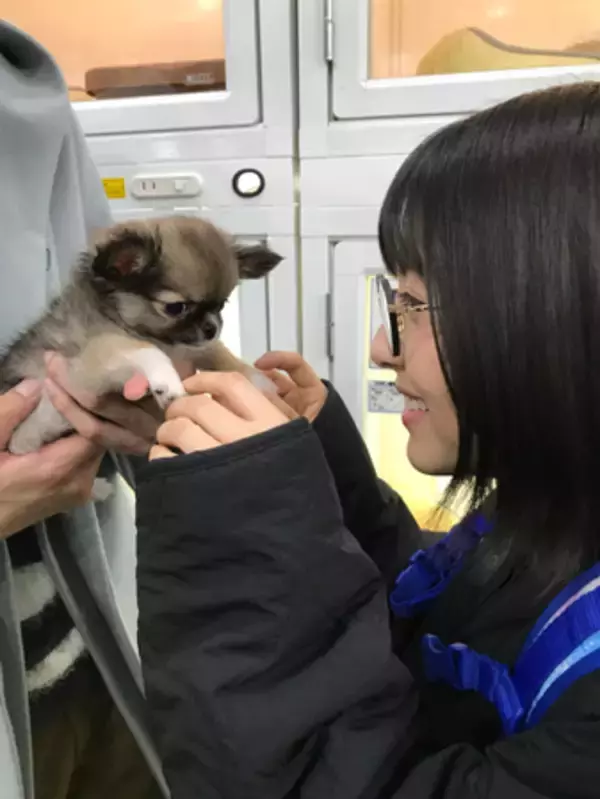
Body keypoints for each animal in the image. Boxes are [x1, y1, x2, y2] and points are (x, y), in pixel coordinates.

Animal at [0, 215, 282, 456]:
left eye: (222, 304)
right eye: (176, 308)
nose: (212, 328)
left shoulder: (191, 345)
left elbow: (219, 353)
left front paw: (258, 379)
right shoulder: (92, 359)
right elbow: (145, 350)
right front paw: (166, 381)